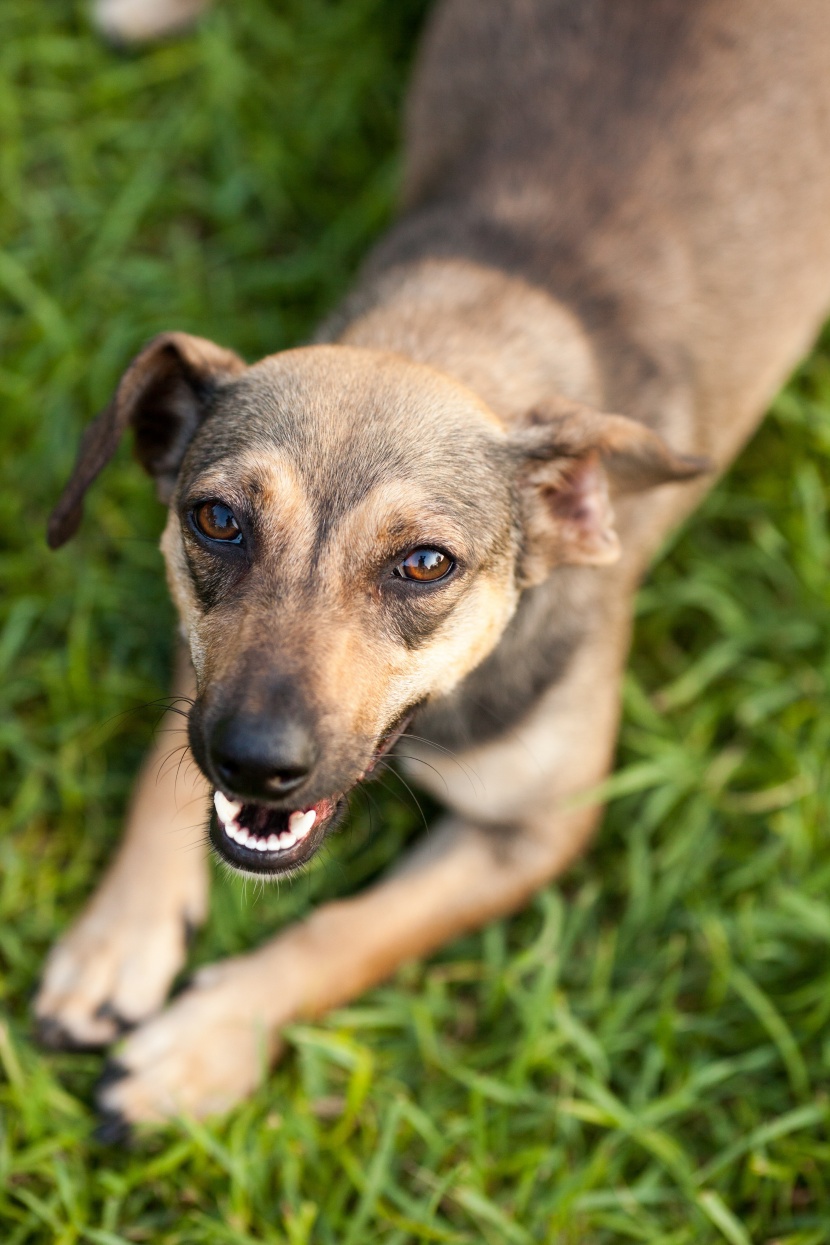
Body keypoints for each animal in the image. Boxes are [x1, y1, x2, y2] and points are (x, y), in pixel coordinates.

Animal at [35, 0, 830, 1130]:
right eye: (215, 519)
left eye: (423, 563)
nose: (254, 762)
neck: (452, 340)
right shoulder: (203, 681)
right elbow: (163, 758)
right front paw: (116, 940)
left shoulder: (530, 831)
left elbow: (345, 931)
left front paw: (202, 1044)